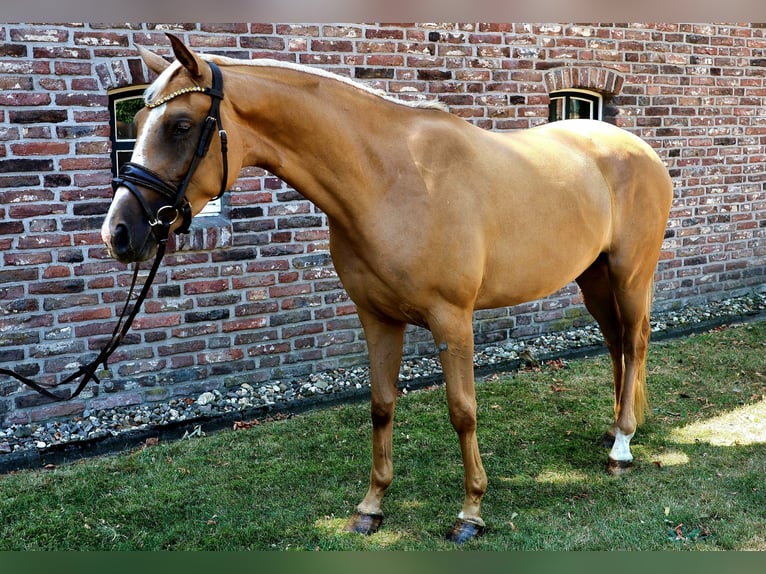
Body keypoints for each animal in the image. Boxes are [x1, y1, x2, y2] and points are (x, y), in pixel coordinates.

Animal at [101, 34, 673, 543]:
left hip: (629, 274)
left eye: (180, 125)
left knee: (636, 340)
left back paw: (622, 449)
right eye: (135, 122)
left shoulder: (452, 319)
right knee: (617, 343)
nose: (119, 233)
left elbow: (462, 412)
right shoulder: (376, 316)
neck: (387, 180)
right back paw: (615, 430)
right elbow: (380, 405)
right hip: (592, 277)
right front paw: (371, 507)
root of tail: (641, 149)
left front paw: (471, 513)